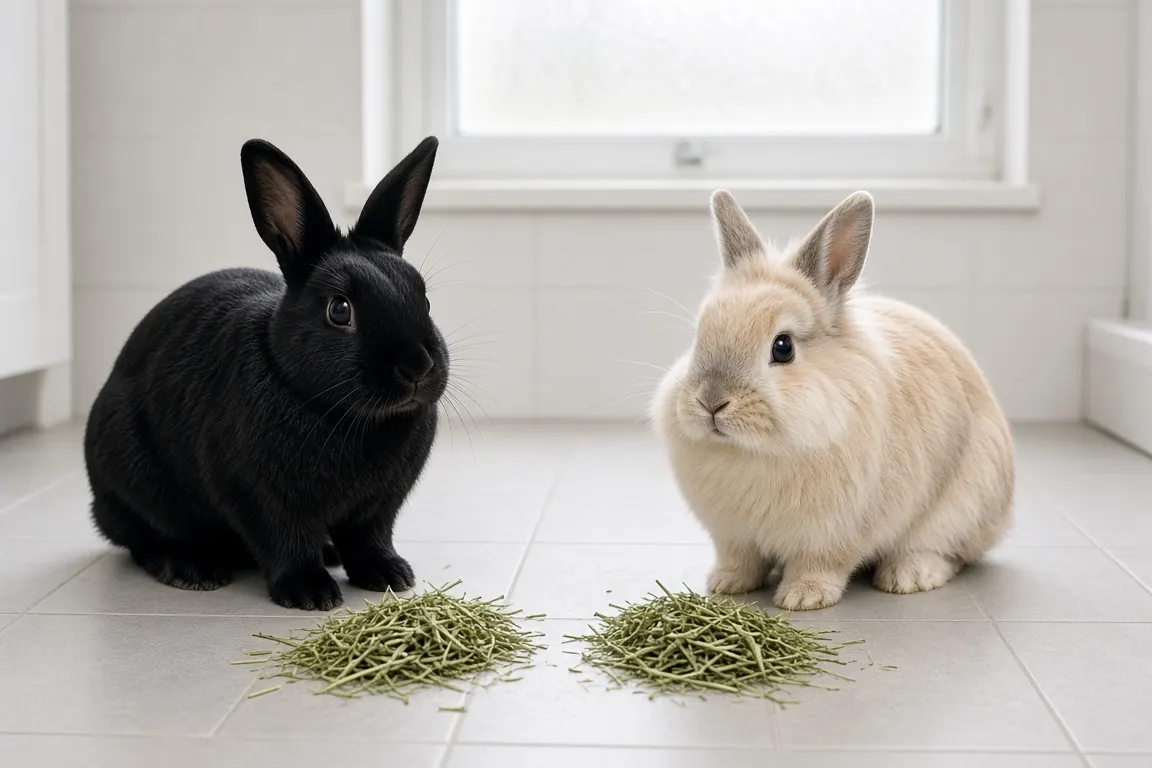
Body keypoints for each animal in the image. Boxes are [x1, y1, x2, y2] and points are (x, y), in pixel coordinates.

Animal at [84, 136, 448, 610]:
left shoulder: (379, 506)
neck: (345, 415)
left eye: (424, 300)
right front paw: (310, 593)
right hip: (133, 481)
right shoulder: (258, 496)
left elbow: (370, 538)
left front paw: (390, 575)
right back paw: (192, 569)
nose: (418, 367)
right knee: (144, 540)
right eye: (340, 310)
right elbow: (284, 541)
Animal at [651, 190, 1014, 611]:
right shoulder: (732, 537)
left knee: (949, 551)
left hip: (962, 507)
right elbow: (741, 559)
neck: (754, 451)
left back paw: (907, 576)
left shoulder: (834, 534)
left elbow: (823, 564)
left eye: (783, 347)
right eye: (700, 335)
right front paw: (727, 584)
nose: (711, 402)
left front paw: (803, 597)